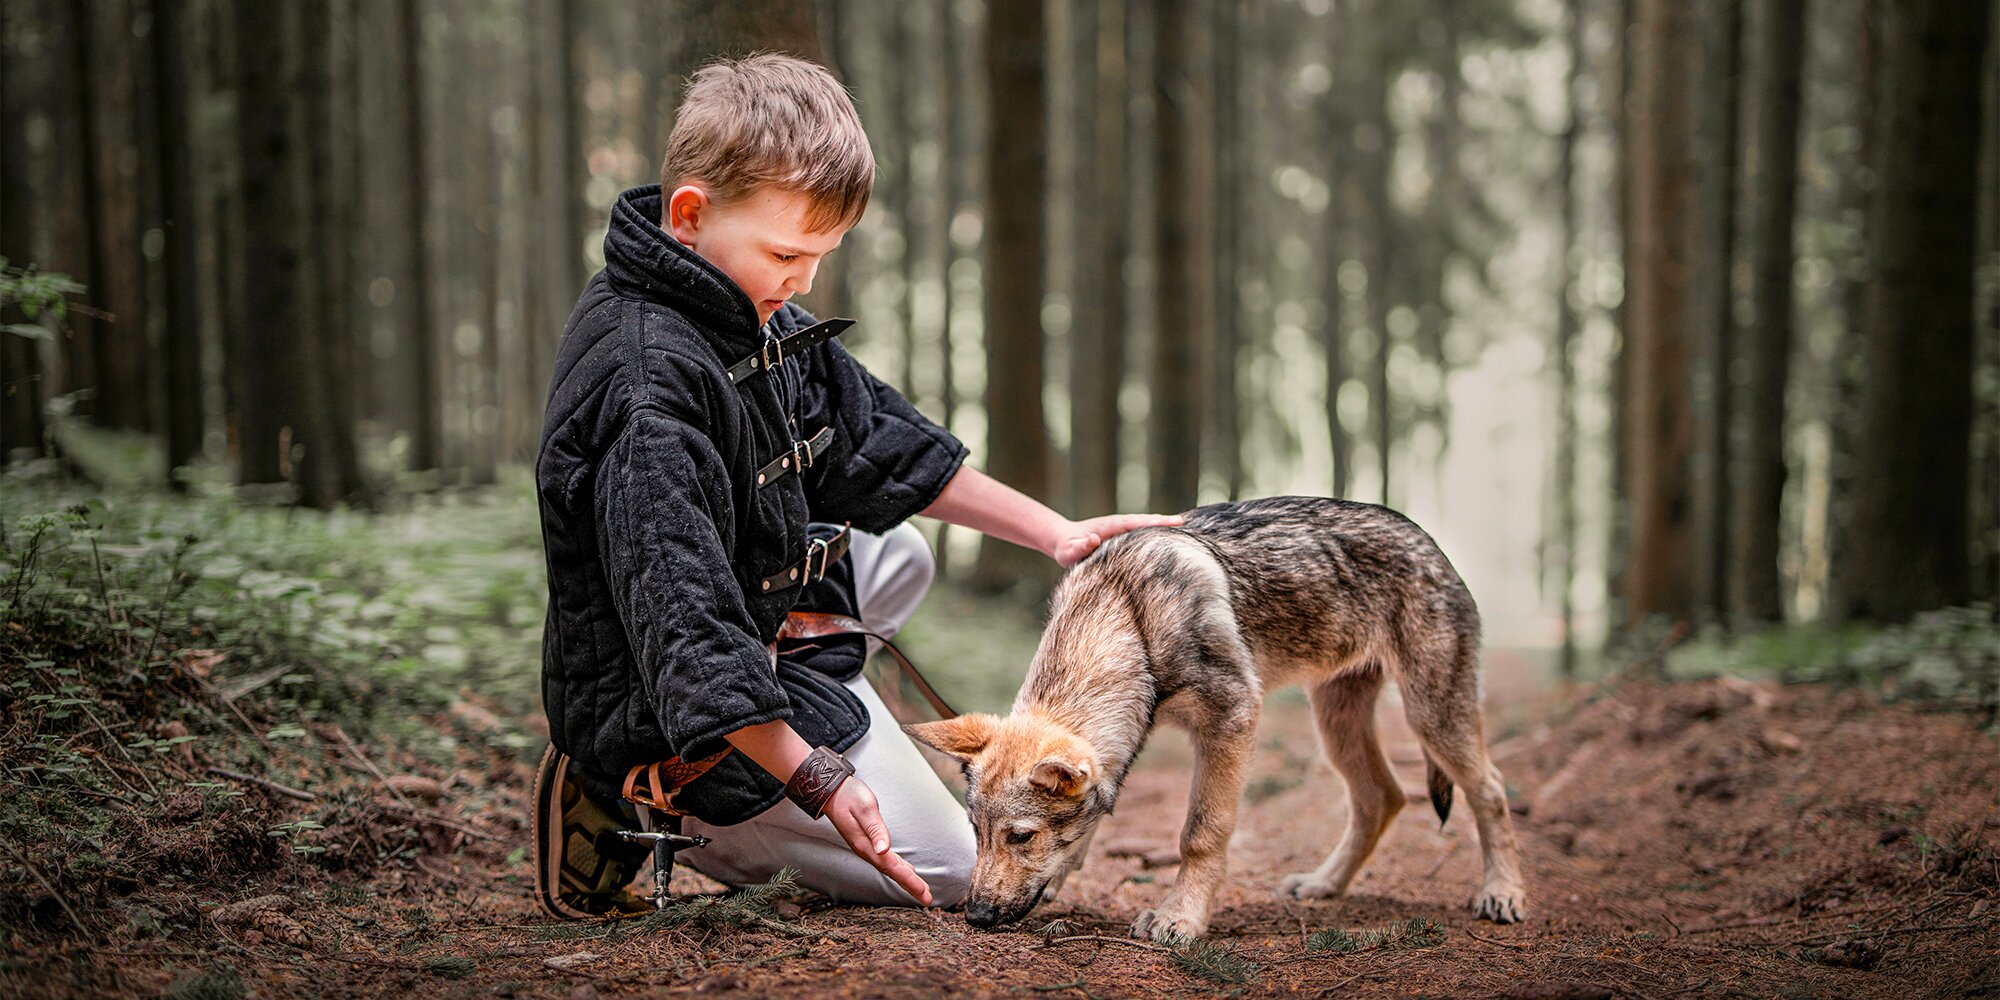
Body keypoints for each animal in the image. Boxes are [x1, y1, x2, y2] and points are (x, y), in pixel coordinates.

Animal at [908, 496, 1528, 940]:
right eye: (975, 832)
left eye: (1022, 836)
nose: (976, 916)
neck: (1126, 610)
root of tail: (1429, 540)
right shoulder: (1133, 739)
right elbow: (1095, 816)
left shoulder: (1231, 722)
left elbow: (1200, 833)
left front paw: (1179, 918)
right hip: (1337, 725)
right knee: (1382, 796)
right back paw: (1324, 884)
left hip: (1430, 715)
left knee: (1491, 790)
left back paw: (1503, 892)